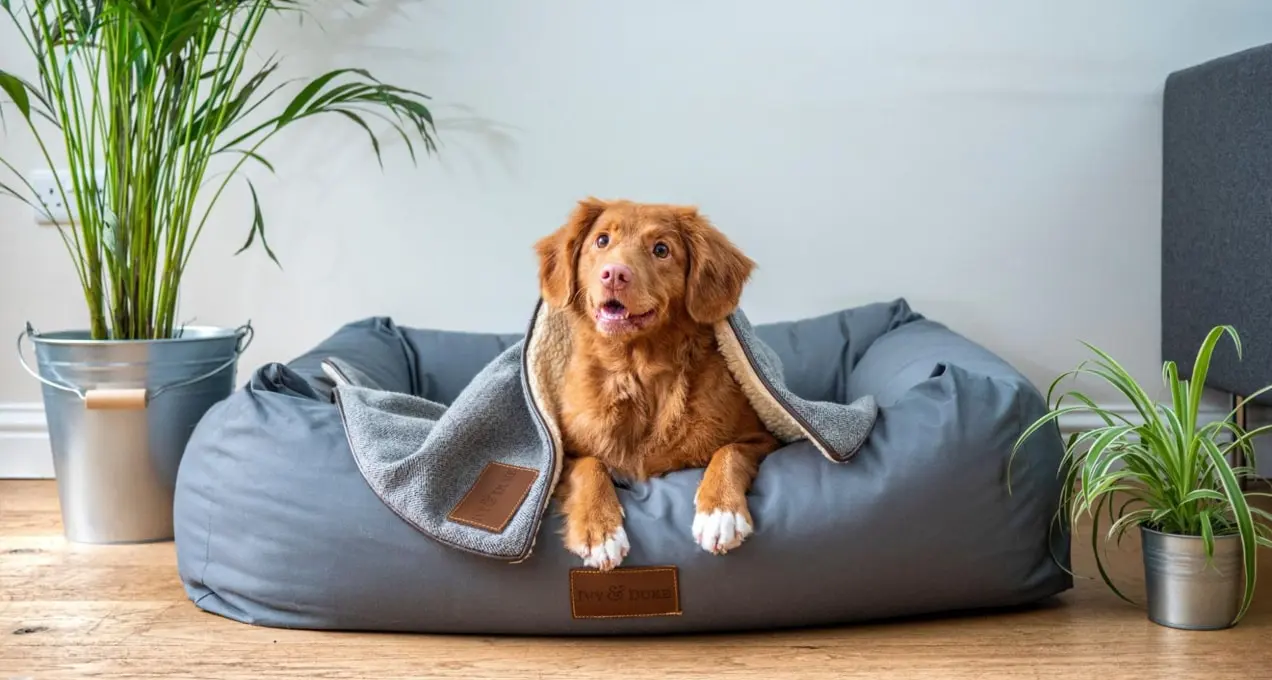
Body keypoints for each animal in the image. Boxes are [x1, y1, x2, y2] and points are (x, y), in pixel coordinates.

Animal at [531, 198, 778, 574]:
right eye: (602, 241)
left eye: (661, 250)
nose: (614, 274)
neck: (637, 372)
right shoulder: (561, 455)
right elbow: (590, 465)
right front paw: (600, 530)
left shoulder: (763, 438)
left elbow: (730, 451)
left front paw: (720, 512)